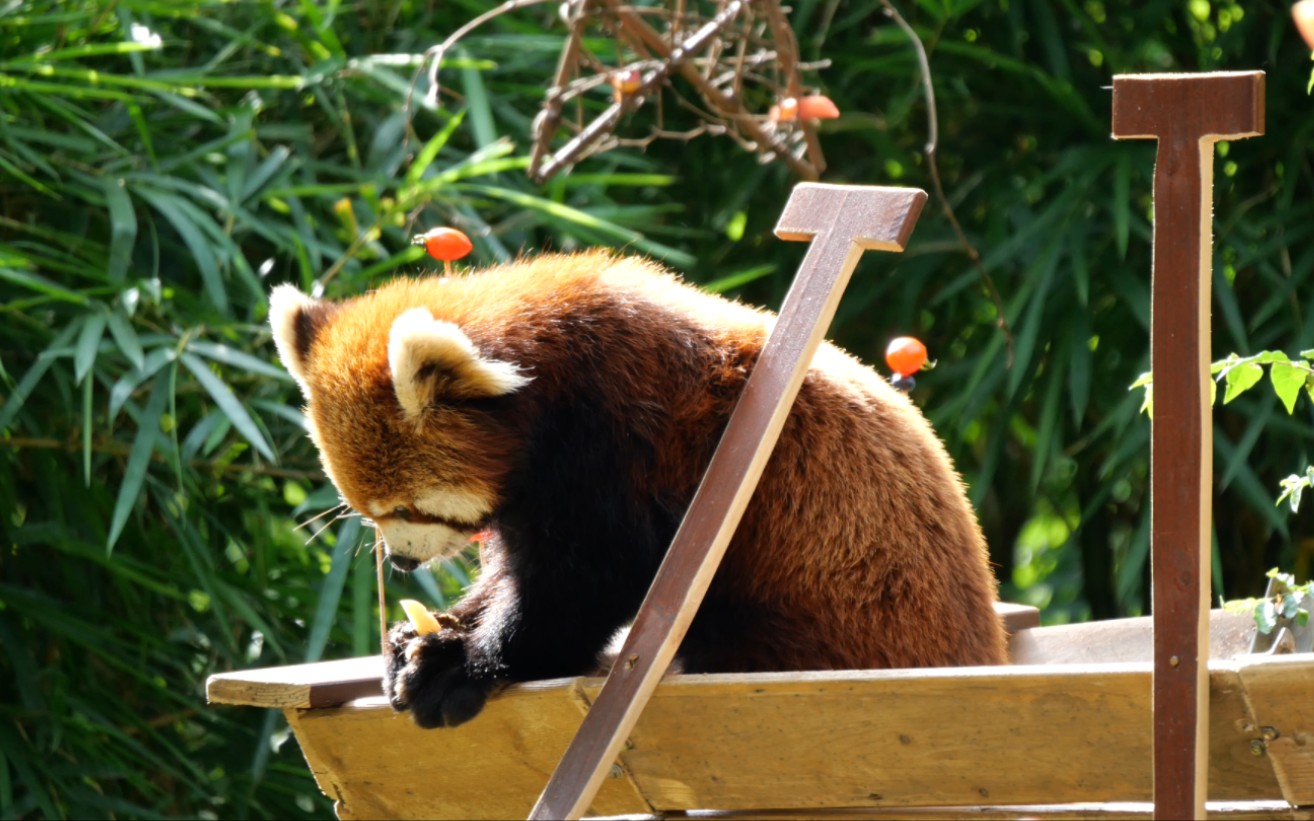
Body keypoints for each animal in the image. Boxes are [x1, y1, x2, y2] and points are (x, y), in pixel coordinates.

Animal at [269, 250, 1007, 729]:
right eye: (364, 512)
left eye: (407, 508)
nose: (400, 563)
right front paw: (425, 635)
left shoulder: (627, 445)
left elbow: (590, 581)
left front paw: (462, 663)